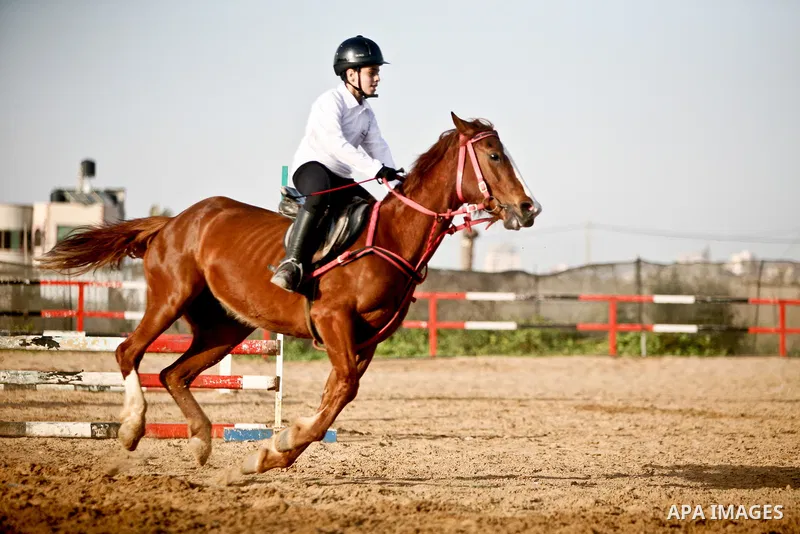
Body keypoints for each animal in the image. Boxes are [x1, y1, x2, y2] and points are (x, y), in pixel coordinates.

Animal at [37, 113, 542, 474]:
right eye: (494, 156)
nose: (528, 208)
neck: (393, 237)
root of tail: (173, 222)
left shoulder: (367, 340)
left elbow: (336, 399)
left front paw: (273, 452)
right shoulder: (334, 321)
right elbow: (341, 391)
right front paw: (275, 449)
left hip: (223, 328)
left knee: (173, 373)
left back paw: (200, 439)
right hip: (169, 299)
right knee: (129, 352)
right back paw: (130, 429)